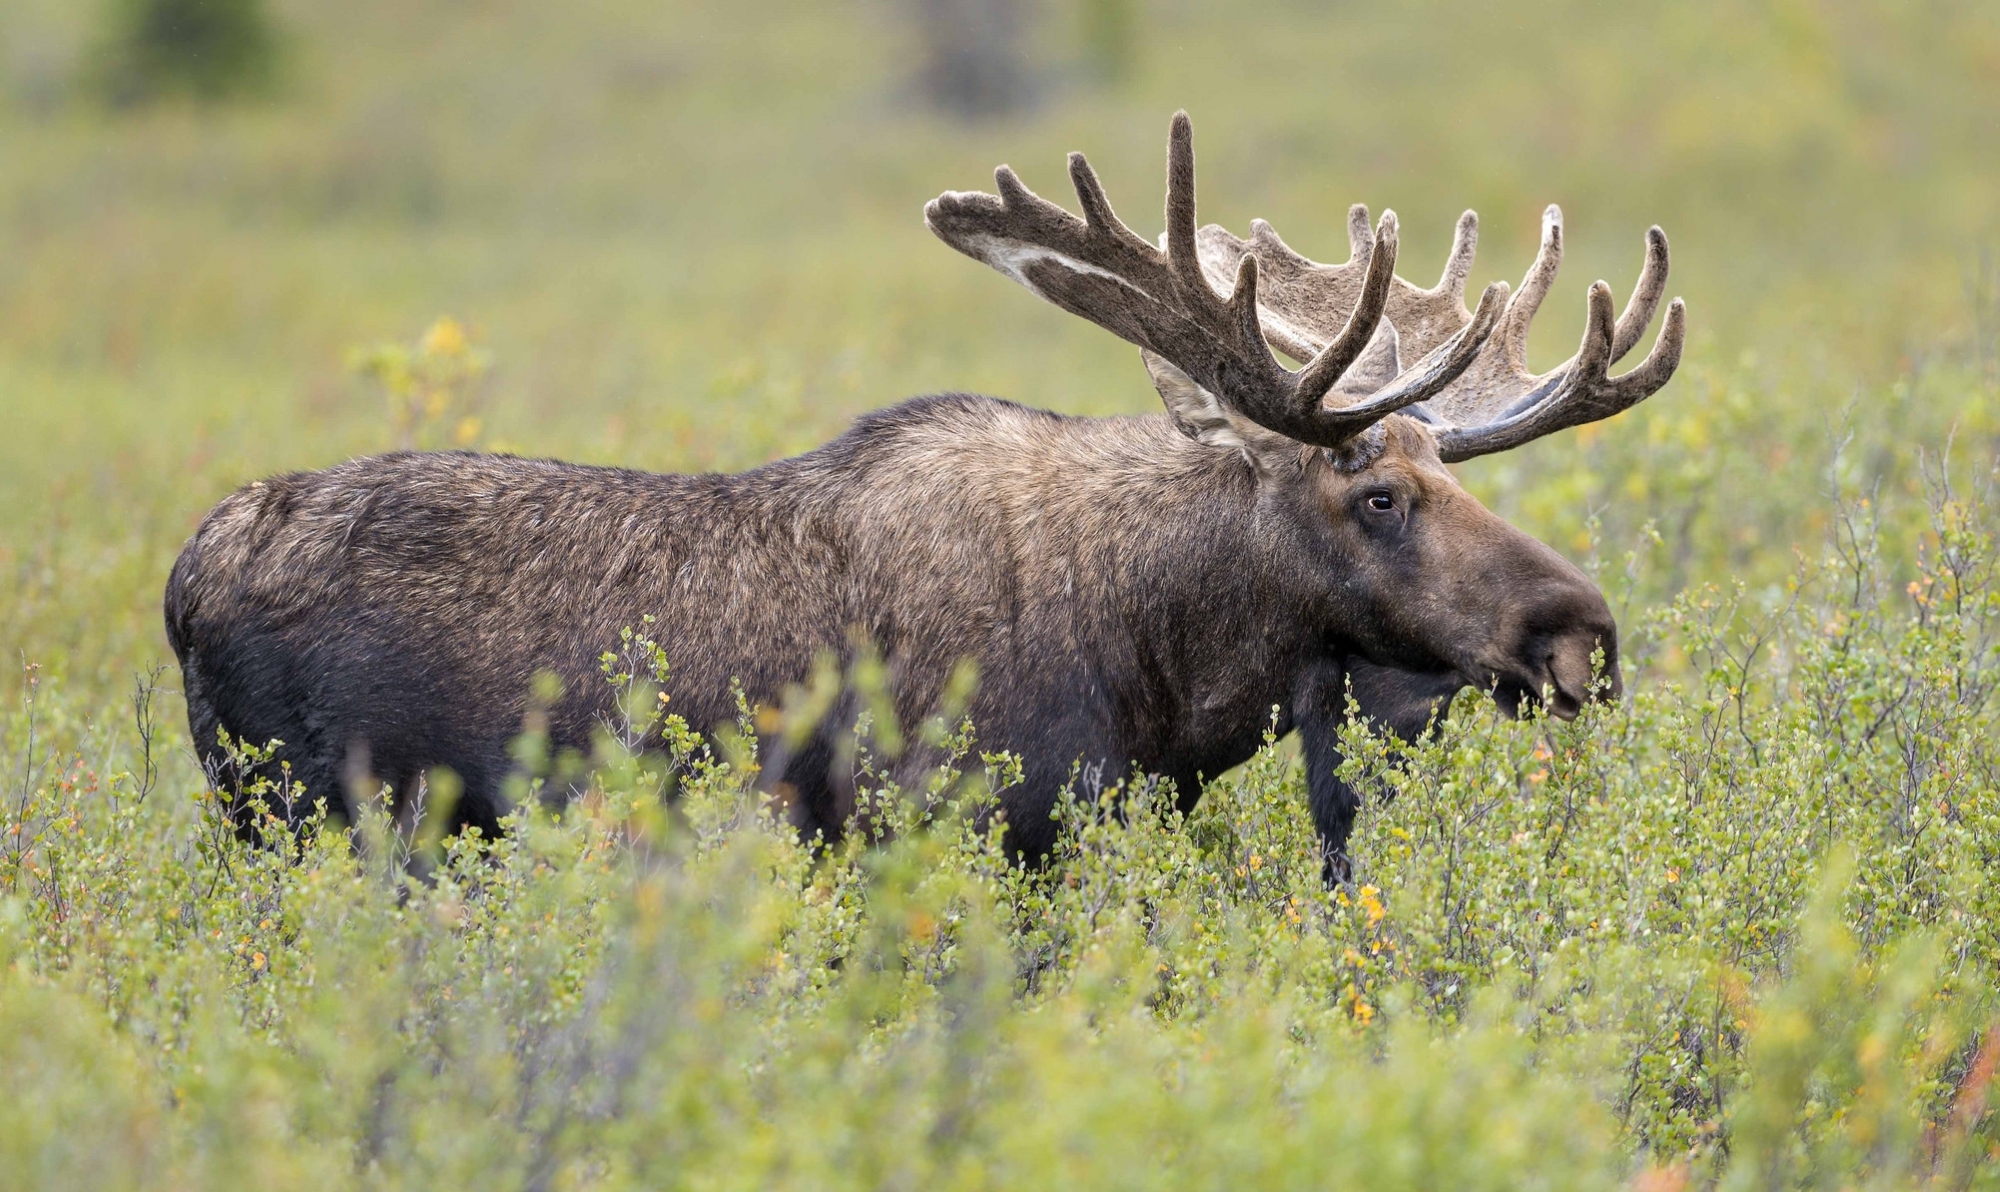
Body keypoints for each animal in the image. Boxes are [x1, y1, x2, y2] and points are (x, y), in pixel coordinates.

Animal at [164, 114, 1680, 876]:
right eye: (1377, 499)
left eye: (1439, 469)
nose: (1581, 634)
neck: (1164, 657)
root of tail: (184, 582)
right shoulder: (948, 824)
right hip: (305, 821)